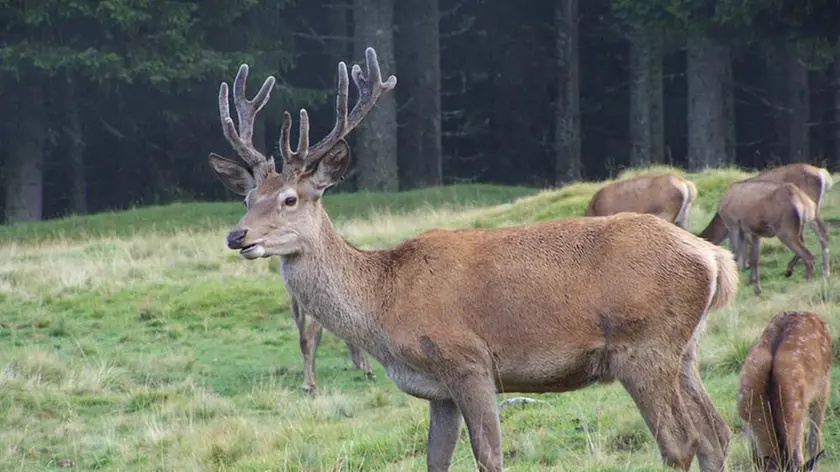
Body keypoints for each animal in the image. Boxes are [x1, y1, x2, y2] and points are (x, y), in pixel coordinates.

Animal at [207, 47, 739, 472]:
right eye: (248, 197)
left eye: (290, 199)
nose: (237, 236)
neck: (384, 304)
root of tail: (715, 259)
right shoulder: (437, 390)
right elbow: (435, 461)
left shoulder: (470, 361)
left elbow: (489, 456)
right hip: (684, 350)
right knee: (716, 433)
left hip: (643, 345)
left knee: (681, 442)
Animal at [698, 180, 829, 296]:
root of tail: (803, 202)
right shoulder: (753, 232)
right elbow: (754, 259)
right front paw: (756, 288)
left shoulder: (733, 224)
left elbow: (735, 255)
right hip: (807, 222)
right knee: (818, 240)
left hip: (786, 230)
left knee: (808, 254)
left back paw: (807, 282)